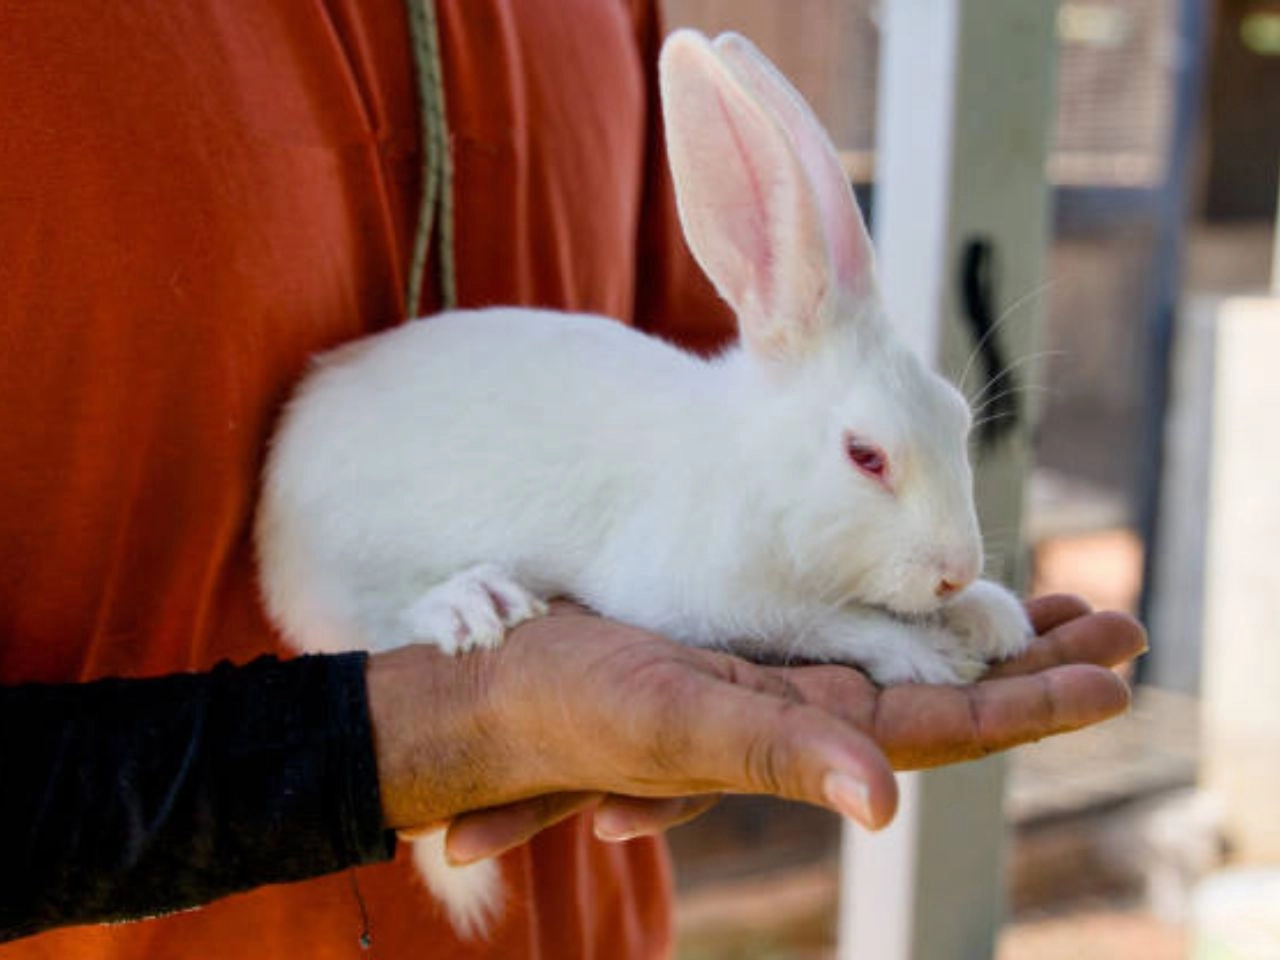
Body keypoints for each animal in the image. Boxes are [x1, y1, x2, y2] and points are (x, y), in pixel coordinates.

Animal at [254, 28, 1034, 942]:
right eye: (865, 456)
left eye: (957, 416)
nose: (953, 570)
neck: (750, 466)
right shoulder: (709, 597)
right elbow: (828, 622)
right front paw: (928, 652)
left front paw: (993, 615)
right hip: (354, 568)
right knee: (366, 623)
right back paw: (473, 603)